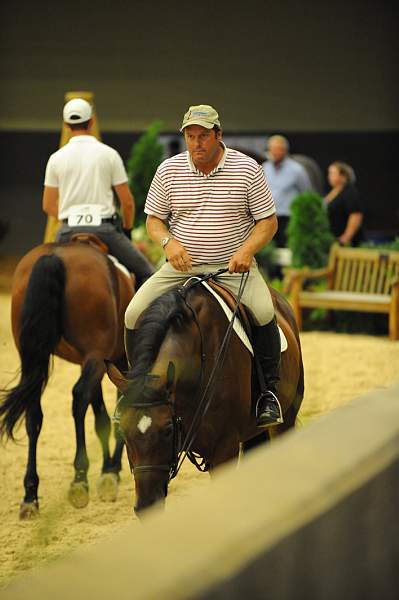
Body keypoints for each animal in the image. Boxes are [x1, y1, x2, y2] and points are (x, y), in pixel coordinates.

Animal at [0, 237, 134, 516]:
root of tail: (55, 256)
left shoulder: (96, 363)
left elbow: (102, 418)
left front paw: (109, 470)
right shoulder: (112, 360)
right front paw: (111, 470)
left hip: (35, 356)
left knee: (34, 412)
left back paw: (31, 494)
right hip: (96, 354)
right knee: (79, 398)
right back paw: (79, 480)